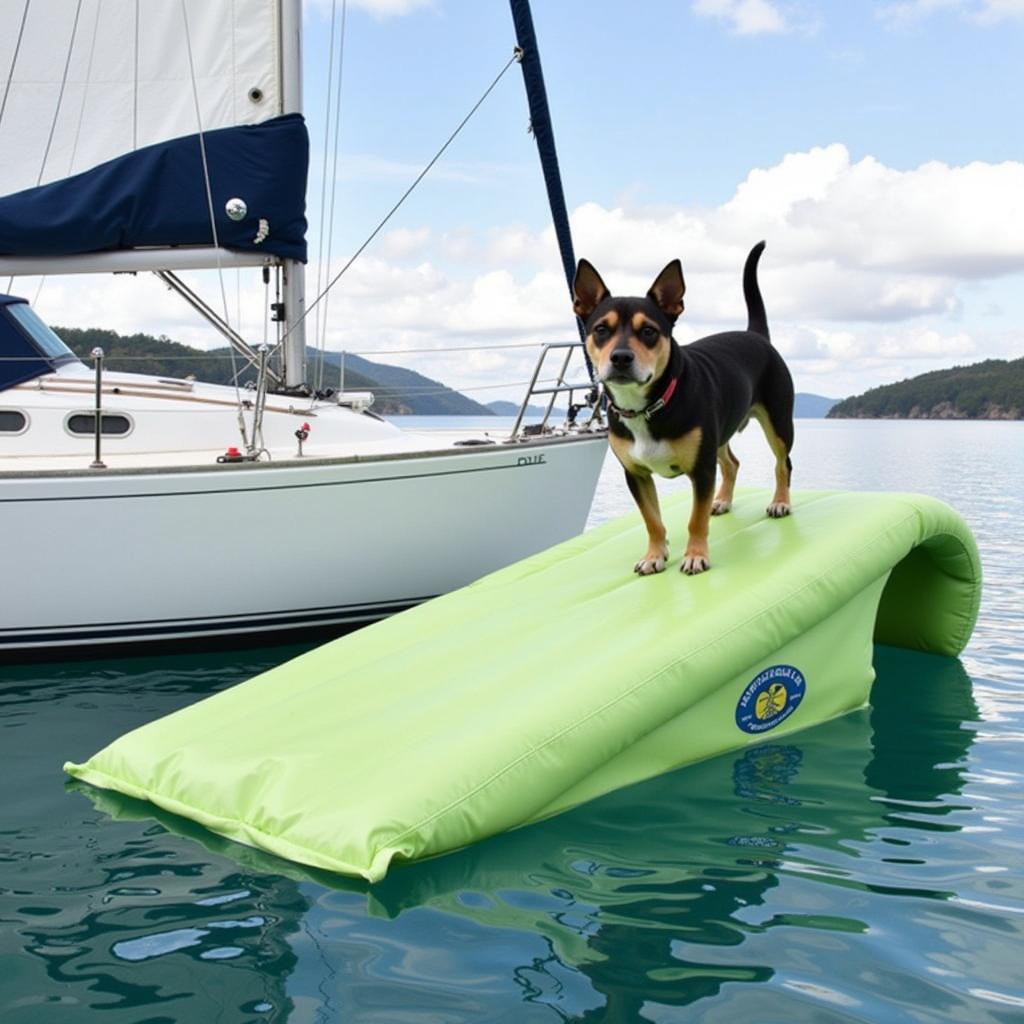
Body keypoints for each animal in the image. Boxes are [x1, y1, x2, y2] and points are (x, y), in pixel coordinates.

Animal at [577, 240, 790, 577]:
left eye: (648, 331)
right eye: (600, 330)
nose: (621, 357)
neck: (648, 407)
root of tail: (755, 334)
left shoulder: (701, 471)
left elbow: (695, 519)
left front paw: (695, 555)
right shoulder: (636, 475)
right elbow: (652, 521)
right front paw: (654, 555)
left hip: (778, 424)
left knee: (783, 464)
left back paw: (781, 502)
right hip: (719, 434)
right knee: (731, 463)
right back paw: (723, 500)